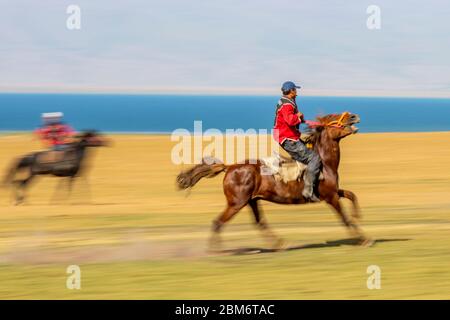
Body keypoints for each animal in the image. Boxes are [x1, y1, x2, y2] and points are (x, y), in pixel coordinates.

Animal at [177, 112, 372, 250]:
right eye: (333, 117)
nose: (354, 115)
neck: (325, 163)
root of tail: (230, 167)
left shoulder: (333, 192)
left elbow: (351, 195)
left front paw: (358, 215)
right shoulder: (330, 198)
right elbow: (345, 218)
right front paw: (363, 239)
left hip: (251, 201)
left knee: (259, 223)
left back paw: (279, 244)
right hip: (236, 203)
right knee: (218, 223)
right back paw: (215, 250)